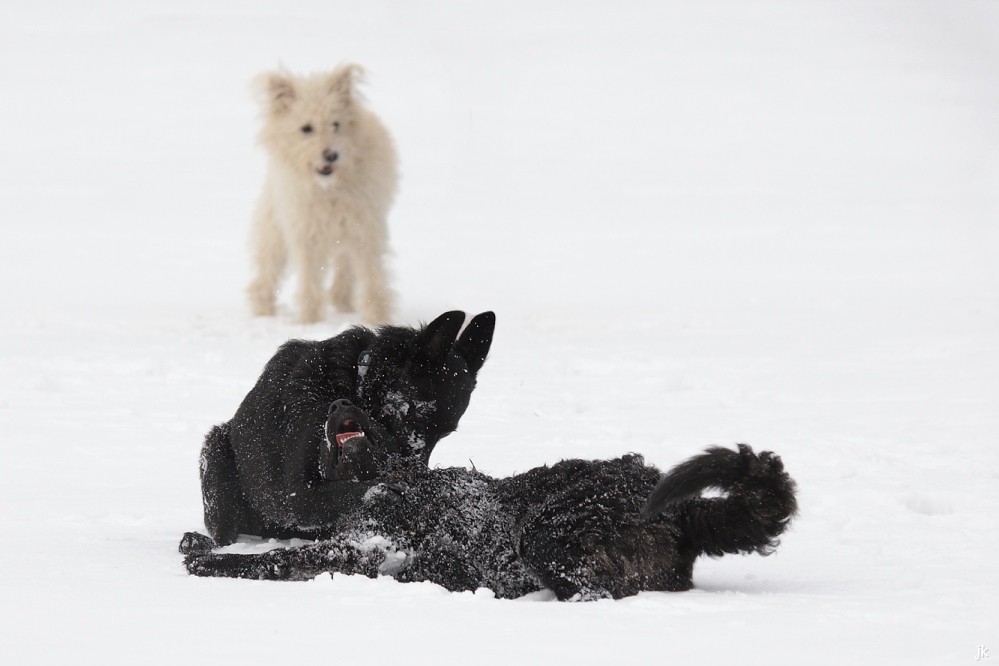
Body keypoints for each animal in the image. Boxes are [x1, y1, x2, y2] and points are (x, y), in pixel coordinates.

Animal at [246, 65, 398, 324]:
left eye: (336, 125)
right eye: (306, 128)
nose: (331, 154)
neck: (328, 188)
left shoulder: (365, 229)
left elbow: (371, 275)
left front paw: (377, 319)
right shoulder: (305, 232)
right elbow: (309, 279)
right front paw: (310, 321)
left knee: (345, 266)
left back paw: (342, 300)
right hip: (274, 230)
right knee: (267, 270)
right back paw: (262, 312)